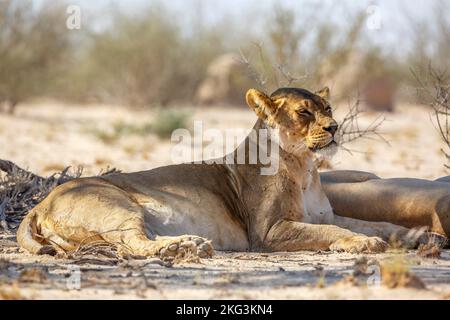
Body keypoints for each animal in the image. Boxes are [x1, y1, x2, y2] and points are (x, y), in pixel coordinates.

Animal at [16, 86, 440, 258]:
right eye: (304, 112)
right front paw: (363, 244)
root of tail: (39, 203)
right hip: (116, 205)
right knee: (132, 244)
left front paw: (422, 236)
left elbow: (375, 223)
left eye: (329, 109)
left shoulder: (328, 213)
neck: (305, 168)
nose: (335, 128)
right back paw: (184, 247)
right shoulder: (268, 233)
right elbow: (335, 233)